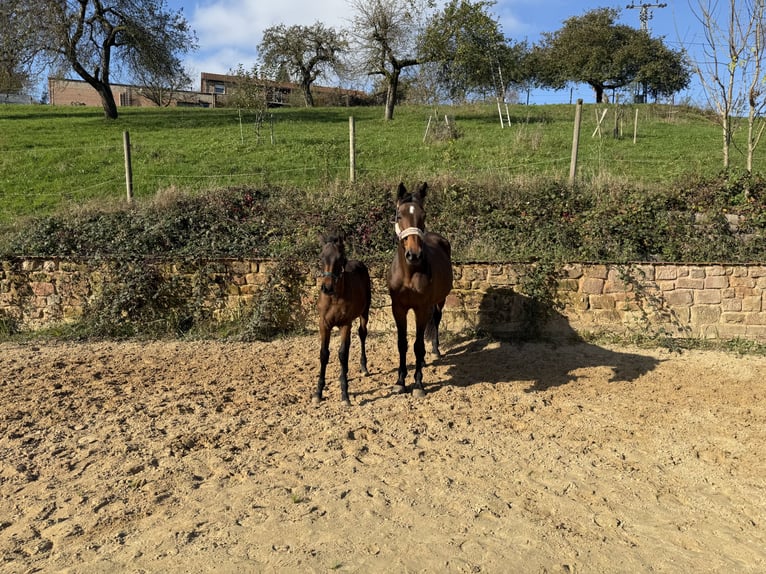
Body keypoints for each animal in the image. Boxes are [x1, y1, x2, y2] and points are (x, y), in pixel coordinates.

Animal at [312, 232, 372, 408]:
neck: (334, 298)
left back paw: (363, 367)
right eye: (321, 257)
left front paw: (345, 395)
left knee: (362, 334)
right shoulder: (324, 324)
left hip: (364, 312)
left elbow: (343, 354)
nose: (327, 287)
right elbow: (324, 354)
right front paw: (318, 393)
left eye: (339, 259)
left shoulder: (345, 324)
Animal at [390, 182, 450, 398]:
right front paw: (400, 382)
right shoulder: (398, 308)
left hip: (440, 300)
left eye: (423, 215)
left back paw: (435, 350)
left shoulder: (421, 309)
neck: (409, 273)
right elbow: (402, 344)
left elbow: (417, 345)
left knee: (436, 320)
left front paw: (418, 384)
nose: (414, 254)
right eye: (399, 215)